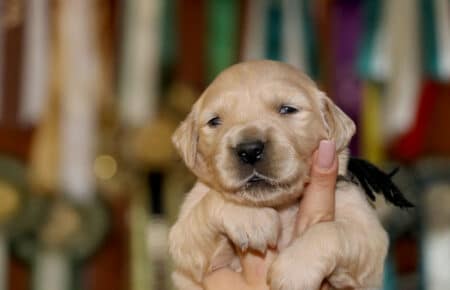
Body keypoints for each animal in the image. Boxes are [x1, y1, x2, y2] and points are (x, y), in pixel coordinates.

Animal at [168, 60, 386, 290]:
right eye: (214, 121)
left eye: (287, 109)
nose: (250, 150)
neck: (283, 207)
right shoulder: (184, 246)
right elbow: (207, 208)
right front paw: (251, 217)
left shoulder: (370, 239)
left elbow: (334, 231)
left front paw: (295, 270)